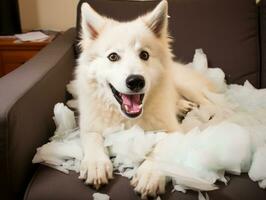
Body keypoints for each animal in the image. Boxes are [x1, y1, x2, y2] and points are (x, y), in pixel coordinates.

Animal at [74, 0, 215, 197]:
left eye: (144, 55)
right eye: (113, 57)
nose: (135, 81)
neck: (127, 119)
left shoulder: (173, 132)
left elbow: (159, 151)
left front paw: (149, 174)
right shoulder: (89, 126)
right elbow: (93, 139)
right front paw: (96, 164)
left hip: (186, 86)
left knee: (213, 102)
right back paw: (182, 106)